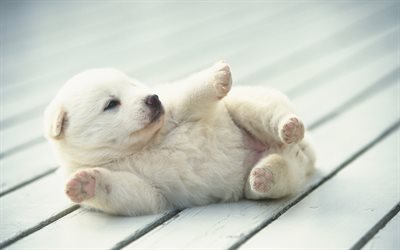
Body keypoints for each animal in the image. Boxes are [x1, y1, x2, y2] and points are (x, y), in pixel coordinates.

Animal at [43, 61, 316, 216]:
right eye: (111, 104)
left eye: (133, 85)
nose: (152, 98)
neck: (137, 148)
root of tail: (305, 153)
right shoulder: (147, 189)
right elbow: (125, 191)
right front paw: (85, 183)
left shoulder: (175, 109)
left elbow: (190, 94)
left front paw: (216, 76)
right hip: (274, 175)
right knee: (277, 176)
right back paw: (265, 175)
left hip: (245, 106)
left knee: (268, 112)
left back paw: (288, 126)